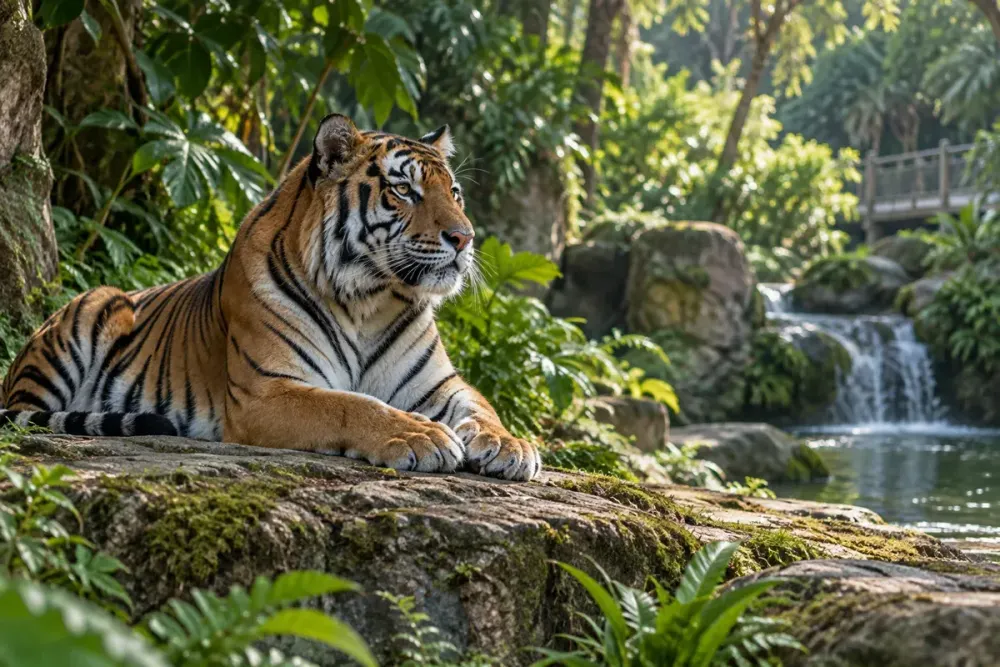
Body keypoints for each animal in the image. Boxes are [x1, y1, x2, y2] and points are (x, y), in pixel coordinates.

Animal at [0, 114, 541, 481]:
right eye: (404, 190)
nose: (465, 238)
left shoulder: (438, 385)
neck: (370, 300)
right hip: (89, 313)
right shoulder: (266, 390)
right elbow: (350, 405)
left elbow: (483, 406)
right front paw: (419, 435)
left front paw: (511, 446)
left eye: (455, 192)